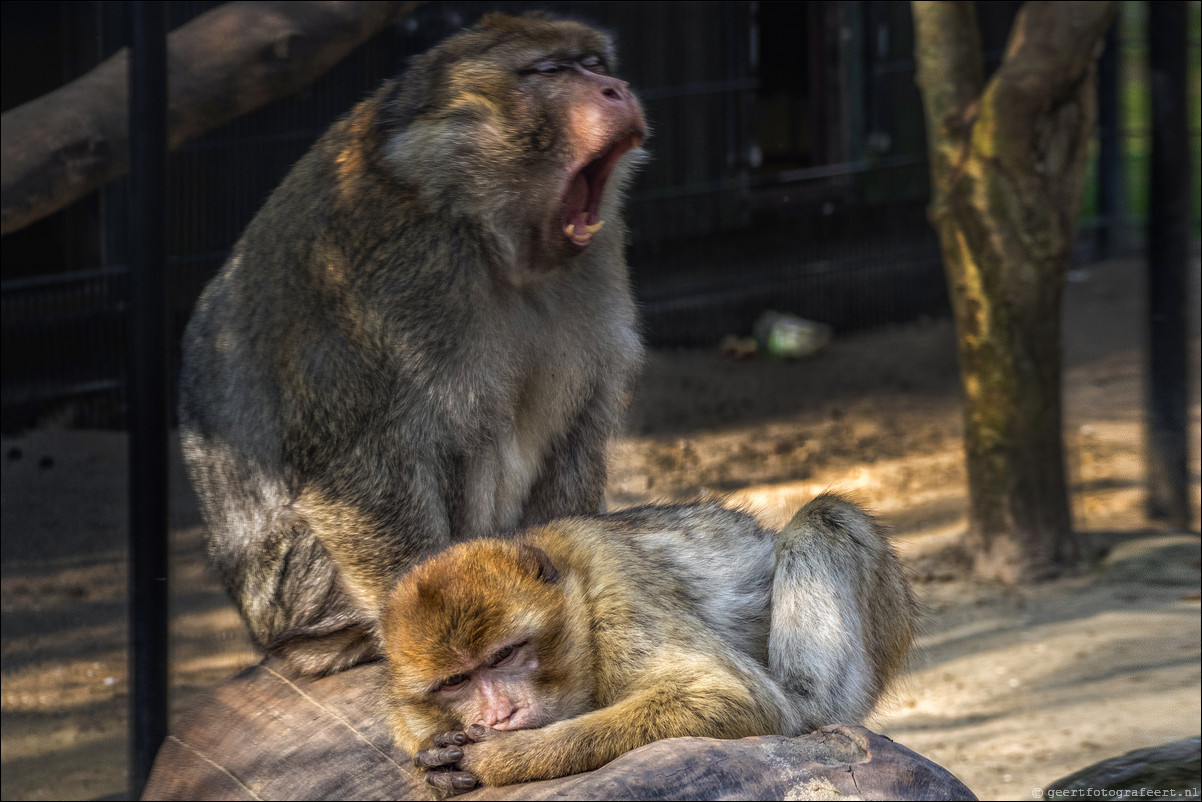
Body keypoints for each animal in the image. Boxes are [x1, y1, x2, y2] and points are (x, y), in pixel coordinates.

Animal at [175, 12, 649, 678]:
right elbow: (355, 472)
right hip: (301, 592)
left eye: (595, 64)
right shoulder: (390, 277)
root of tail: (264, 631)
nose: (616, 88)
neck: (476, 225)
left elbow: (577, 428)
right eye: (551, 70)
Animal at [384, 492, 918, 793]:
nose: (499, 716)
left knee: (827, 517)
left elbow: (733, 695)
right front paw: (433, 760)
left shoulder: (618, 592)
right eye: (455, 680)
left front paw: (505, 757)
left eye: (504, 655)